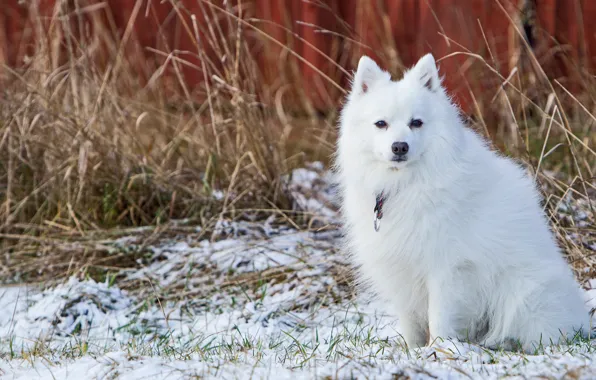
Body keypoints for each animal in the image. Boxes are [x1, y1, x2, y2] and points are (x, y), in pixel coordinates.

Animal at [336, 52, 592, 350]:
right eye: (381, 124)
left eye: (416, 123)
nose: (400, 147)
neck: (407, 185)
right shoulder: (401, 268)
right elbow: (411, 322)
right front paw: (412, 351)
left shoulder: (446, 267)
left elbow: (439, 315)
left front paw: (439, 349)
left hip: (525, 292)